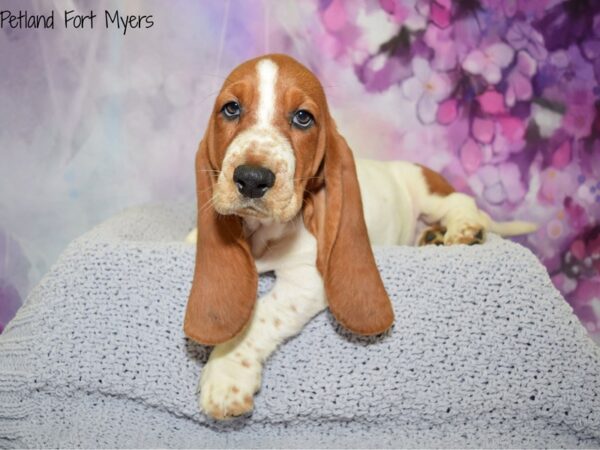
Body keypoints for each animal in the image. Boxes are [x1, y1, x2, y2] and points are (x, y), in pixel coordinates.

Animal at [183, 54, 536, 420]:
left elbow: (261, 315)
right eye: (231, 109)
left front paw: (226, 373)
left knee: (461, 203)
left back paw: (463, 230)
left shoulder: (307, 279)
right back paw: (431, 237)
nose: (252, 179)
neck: (263, 232)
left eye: (303, 117)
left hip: (429, 192)